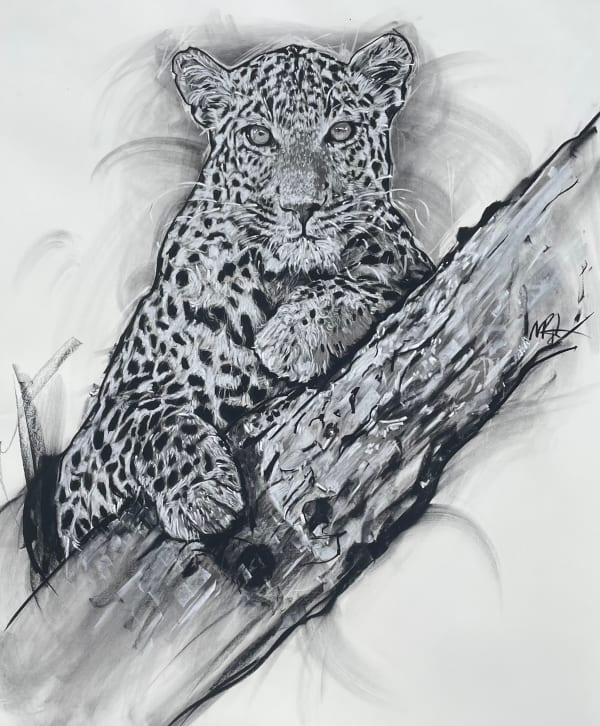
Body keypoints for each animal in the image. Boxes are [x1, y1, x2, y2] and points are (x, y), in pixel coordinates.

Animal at [23, 31, 434, 577]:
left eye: (341, 130)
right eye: (259, 136)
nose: (302, 208)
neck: (280, 277)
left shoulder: (413, 267)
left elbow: (378, 280)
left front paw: (294, 335)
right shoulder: (82, 467)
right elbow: (147, 418)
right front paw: (201, 492)